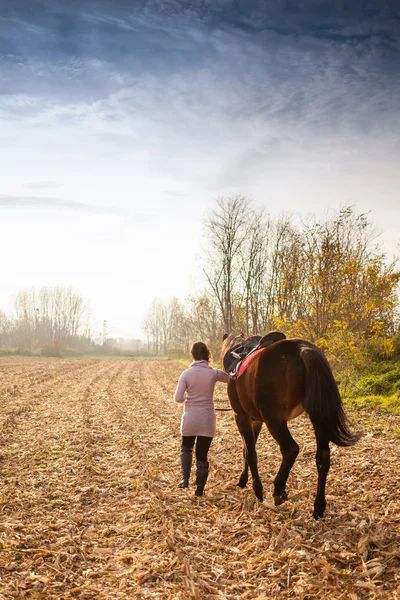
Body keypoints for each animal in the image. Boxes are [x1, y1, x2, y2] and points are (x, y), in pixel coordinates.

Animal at [220, 336, 360, 516]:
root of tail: (302, 349)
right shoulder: (255, 421)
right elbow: (246, 450)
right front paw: (243, 480)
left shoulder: (241, 417)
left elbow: (250, 453)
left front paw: (257, 488)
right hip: (317, 416)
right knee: (323, 456)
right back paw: (318, 506)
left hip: (274, 419)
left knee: (291, 449)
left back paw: (279, 489)